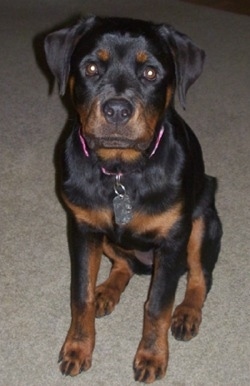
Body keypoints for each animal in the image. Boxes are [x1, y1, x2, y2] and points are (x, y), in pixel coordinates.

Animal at [45, 15, 223, 382]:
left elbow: (157, 305)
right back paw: (107, 292)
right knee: (123, 264)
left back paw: (187, 313)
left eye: (151, 73)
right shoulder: (82, 228)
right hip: (109, 238)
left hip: (203, 221)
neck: (121, 172)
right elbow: (80, 294)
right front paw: (78, 348)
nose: (116, 110)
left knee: (200, 276)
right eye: (91, 67)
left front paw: (152, 357)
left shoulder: (173, 239)